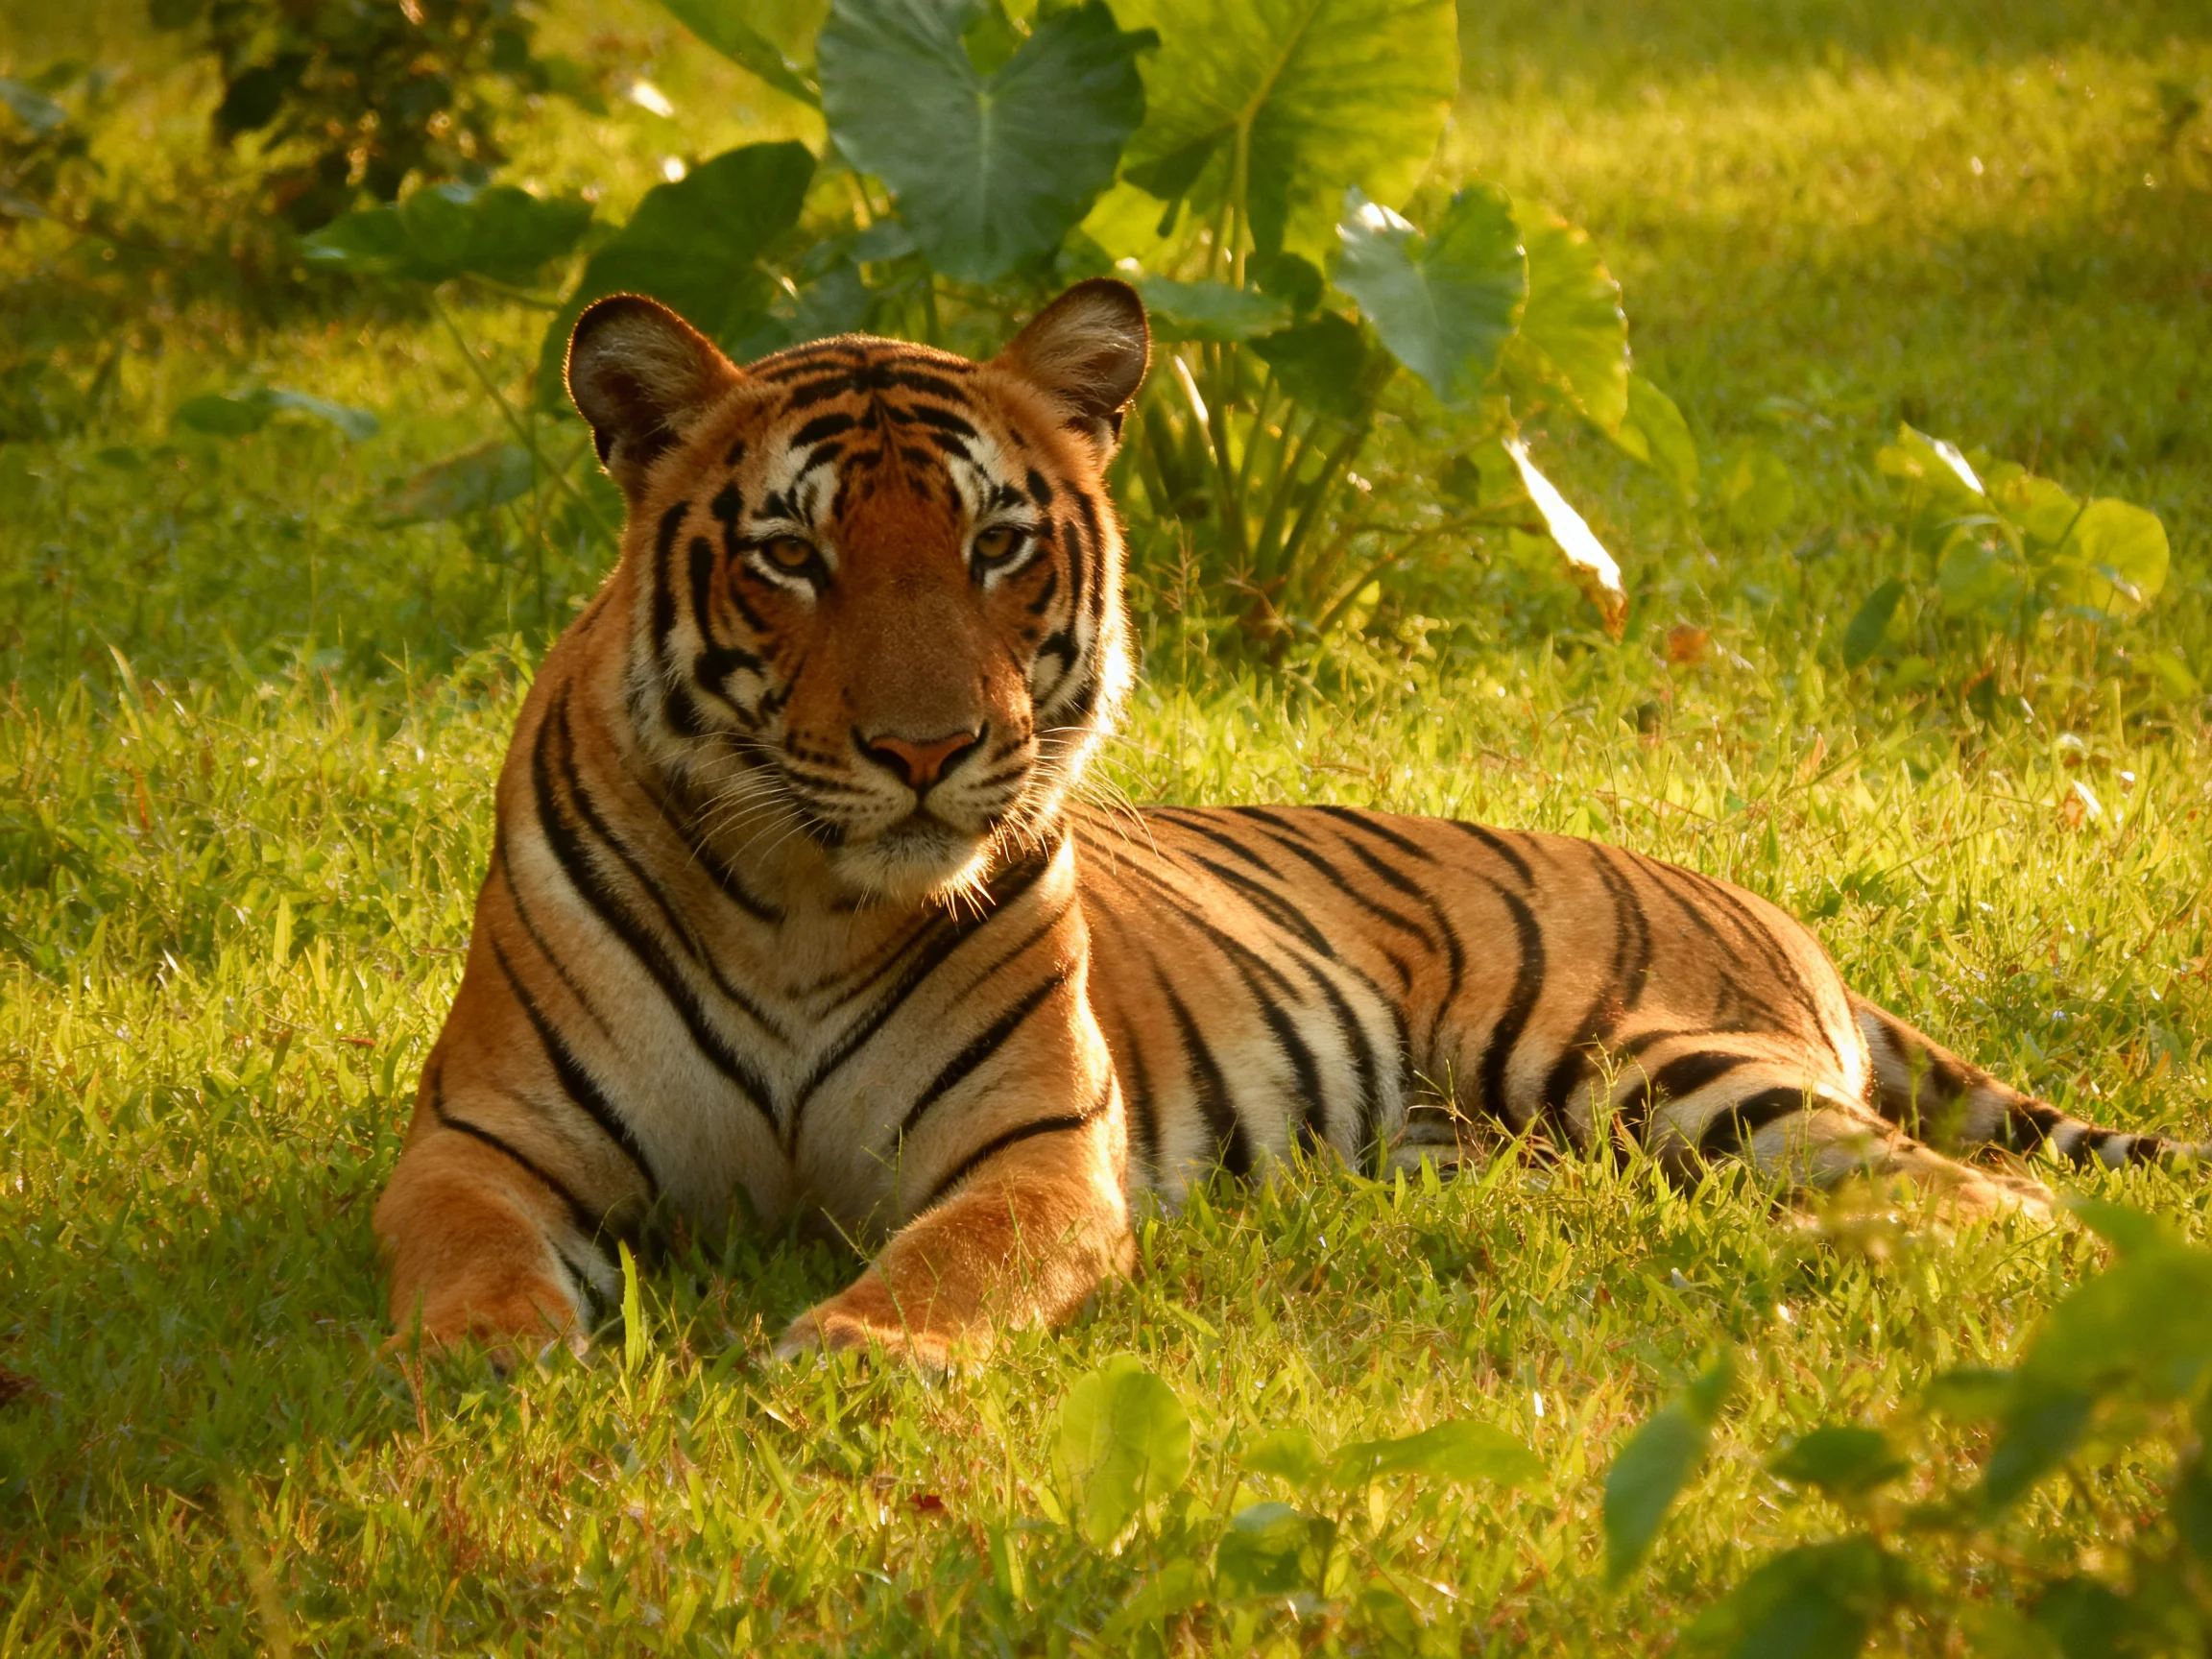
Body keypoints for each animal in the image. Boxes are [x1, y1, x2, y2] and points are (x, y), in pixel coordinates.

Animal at [374, 278, 2199, 1366]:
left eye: (992, 545)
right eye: (789, 557)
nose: (925, 747)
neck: (804, 901)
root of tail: (1757, 899)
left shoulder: (1029, 1148)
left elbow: (954, 1264)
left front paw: (852, 1352)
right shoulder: (483, 1136)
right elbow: (461, 1252)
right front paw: (495, 1358)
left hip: (1644, 1056)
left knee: (1979, 1202)